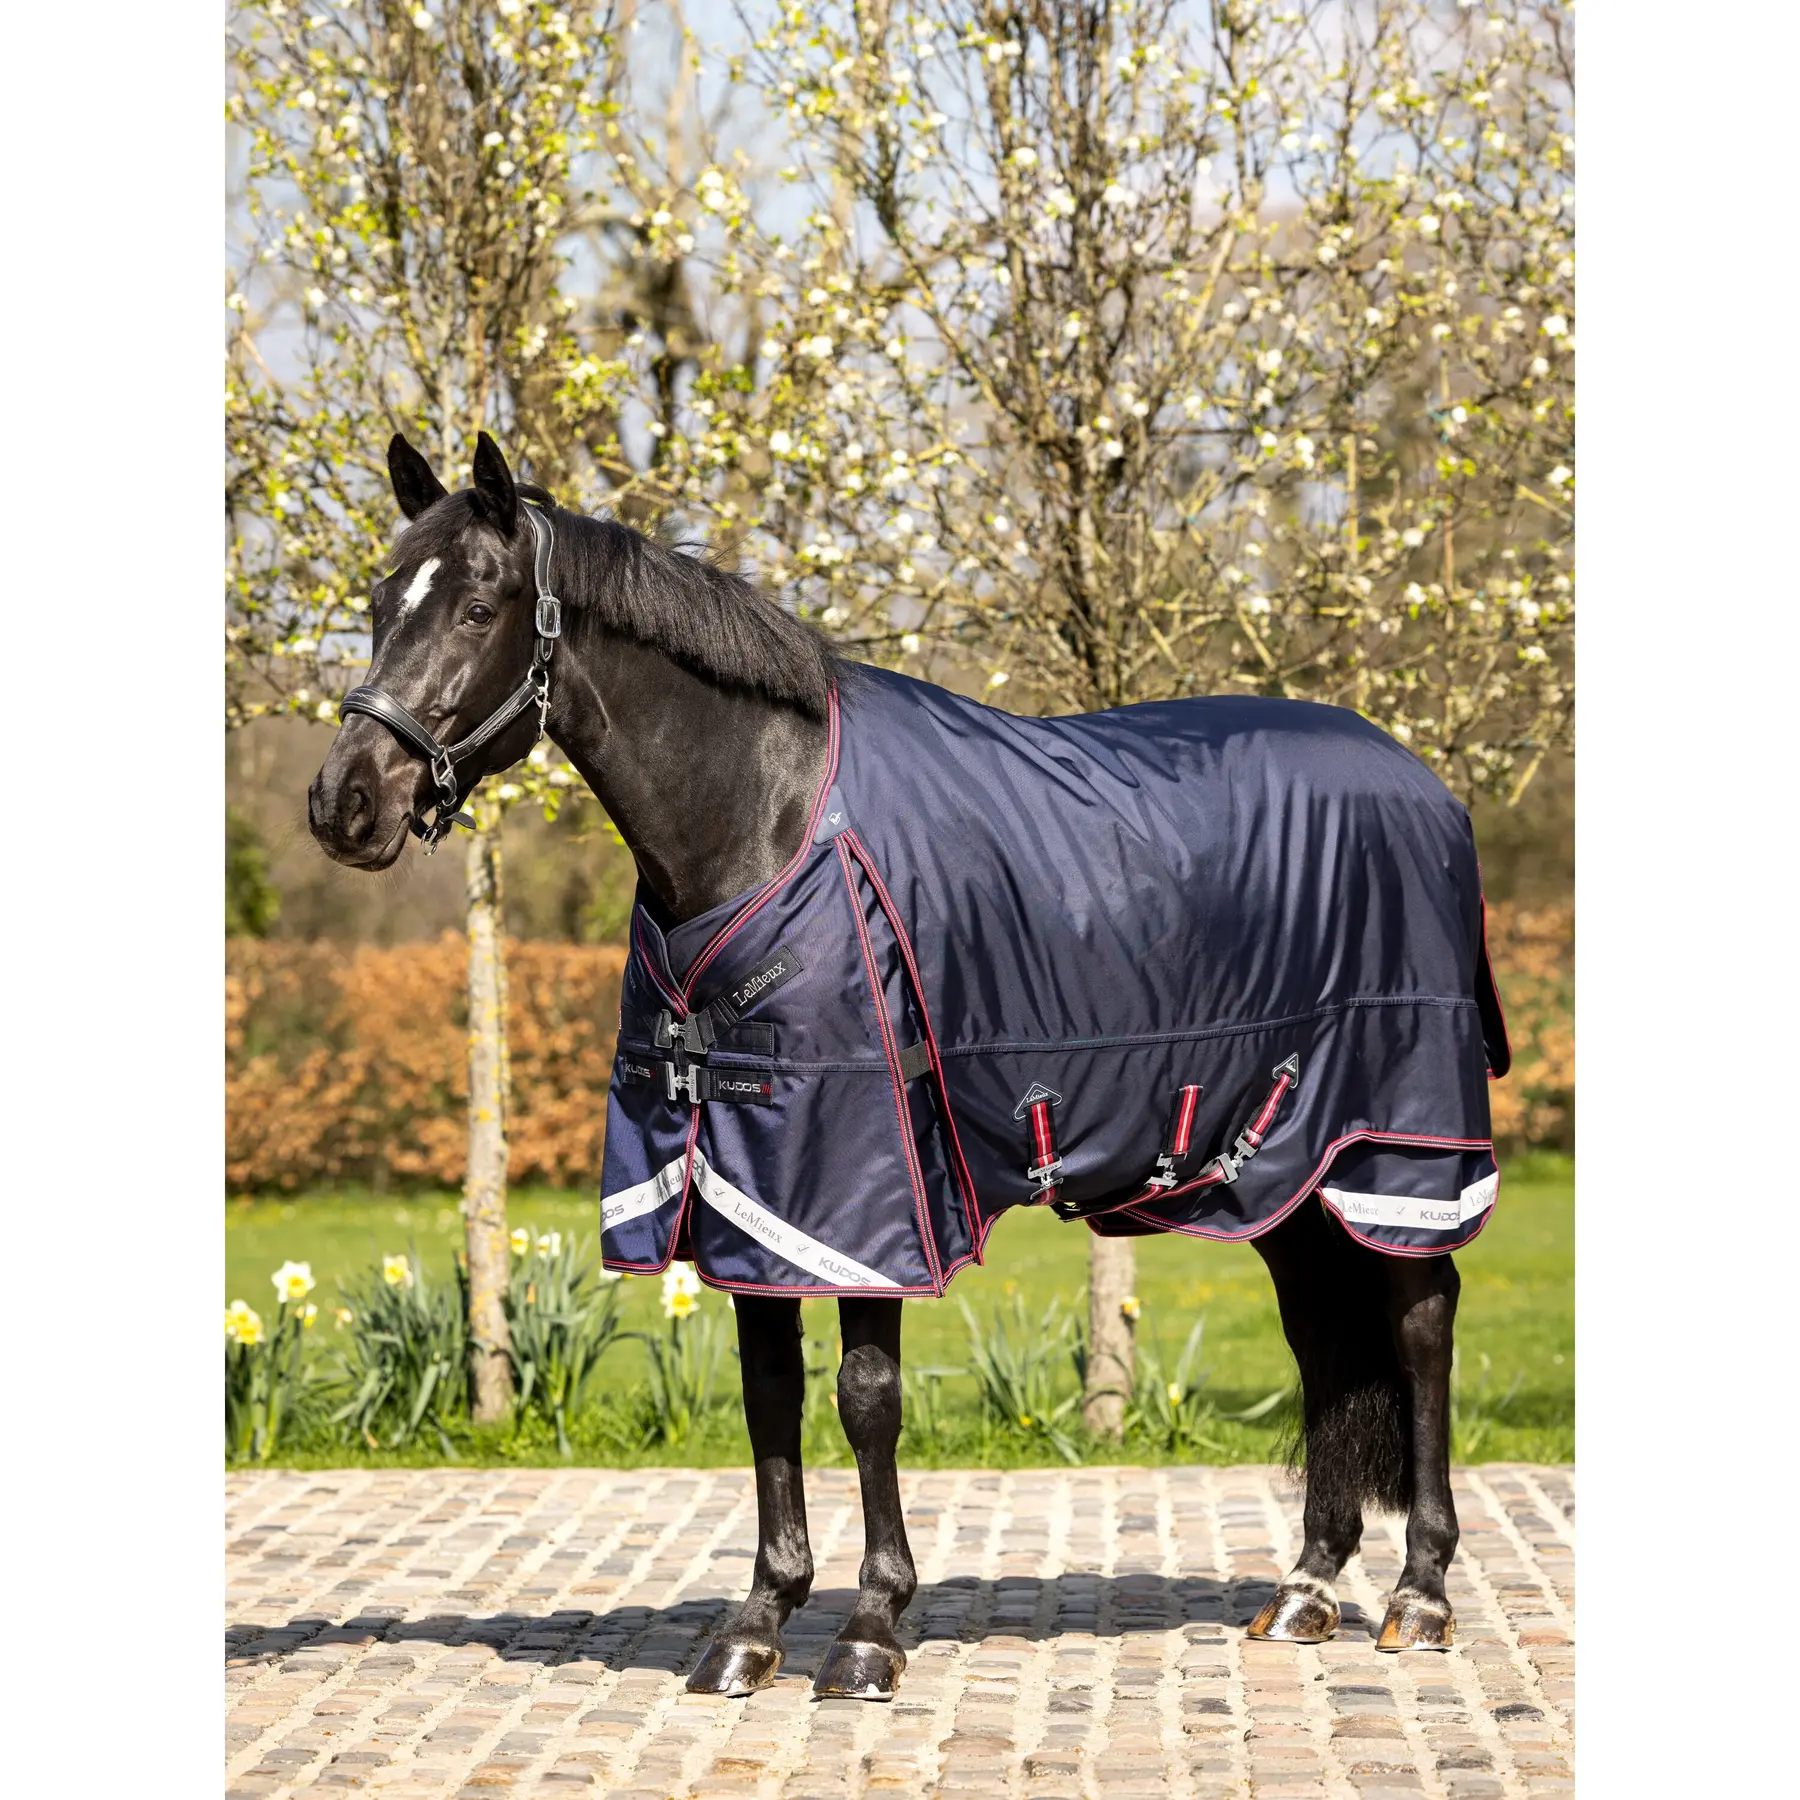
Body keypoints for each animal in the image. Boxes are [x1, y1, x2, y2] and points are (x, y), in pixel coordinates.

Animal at [309, 431, 1509, 1700]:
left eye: (478, 604)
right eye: (379, 600)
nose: (344, 803)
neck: (767, 820)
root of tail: (1428, 786)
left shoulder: (859, 1179)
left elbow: (864, 1399)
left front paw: (872, 1628)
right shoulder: (748, 1185)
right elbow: (768, 1395)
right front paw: (757, 1621)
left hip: (1397, 1145)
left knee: (1422, 1322)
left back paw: (1421, 1595)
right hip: (1282, 1164)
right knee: (1324, 1337)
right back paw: (1308, 1588)